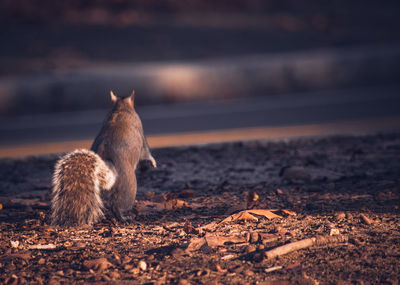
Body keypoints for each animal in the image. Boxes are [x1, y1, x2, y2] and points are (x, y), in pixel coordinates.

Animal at [91, 90, 157, 221]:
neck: (120, 108)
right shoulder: (142, 138)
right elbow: (146, 153)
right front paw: (153, 162)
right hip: (128, 184)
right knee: (117, 205)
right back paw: (122, 217)